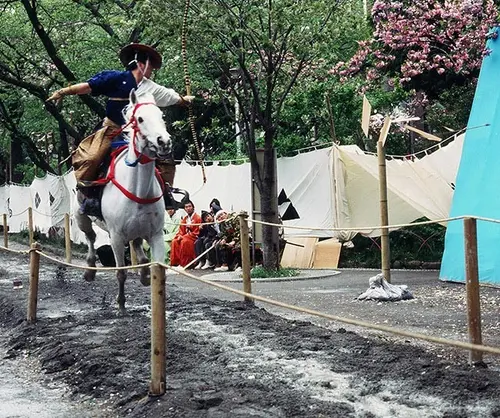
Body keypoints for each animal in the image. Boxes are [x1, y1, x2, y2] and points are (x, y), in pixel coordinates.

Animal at [75, 90, 170, 314]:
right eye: (140, 119)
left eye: (162, 116)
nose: (164, 141)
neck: (139, 189)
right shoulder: (116, 237)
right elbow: (121, 272)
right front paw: (121, 304)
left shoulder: (156, 234)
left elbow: (157, 269)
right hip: (81, 216)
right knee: (90, 237)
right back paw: (90, 270)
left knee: (136, 246)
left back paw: (143, 274)